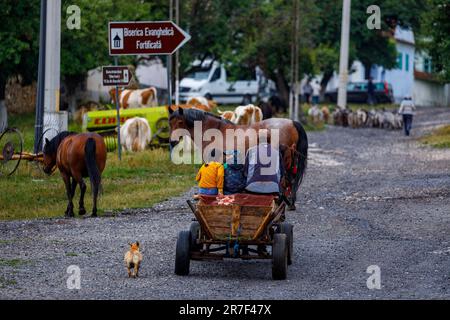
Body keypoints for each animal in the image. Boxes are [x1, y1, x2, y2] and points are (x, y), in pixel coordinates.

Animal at [170, 107, 310, 210]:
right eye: (170, 123)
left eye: (180, 122)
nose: (172, 142)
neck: (215, 132)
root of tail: (292, 122)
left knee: (286, 180)